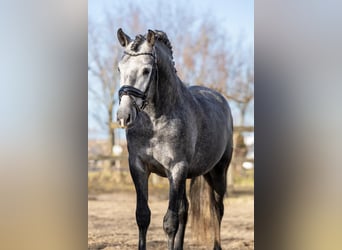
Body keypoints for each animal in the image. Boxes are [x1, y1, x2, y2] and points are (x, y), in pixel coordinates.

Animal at [117, 28, 232, 249]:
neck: (155, 122)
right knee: (185, 210)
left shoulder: (176, 169)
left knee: (217, 209)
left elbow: (170, 222)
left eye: (146, 71)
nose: (123, 116)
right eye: (119, 68)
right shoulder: (138, 167)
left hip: (218, 172)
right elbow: (143, 216)